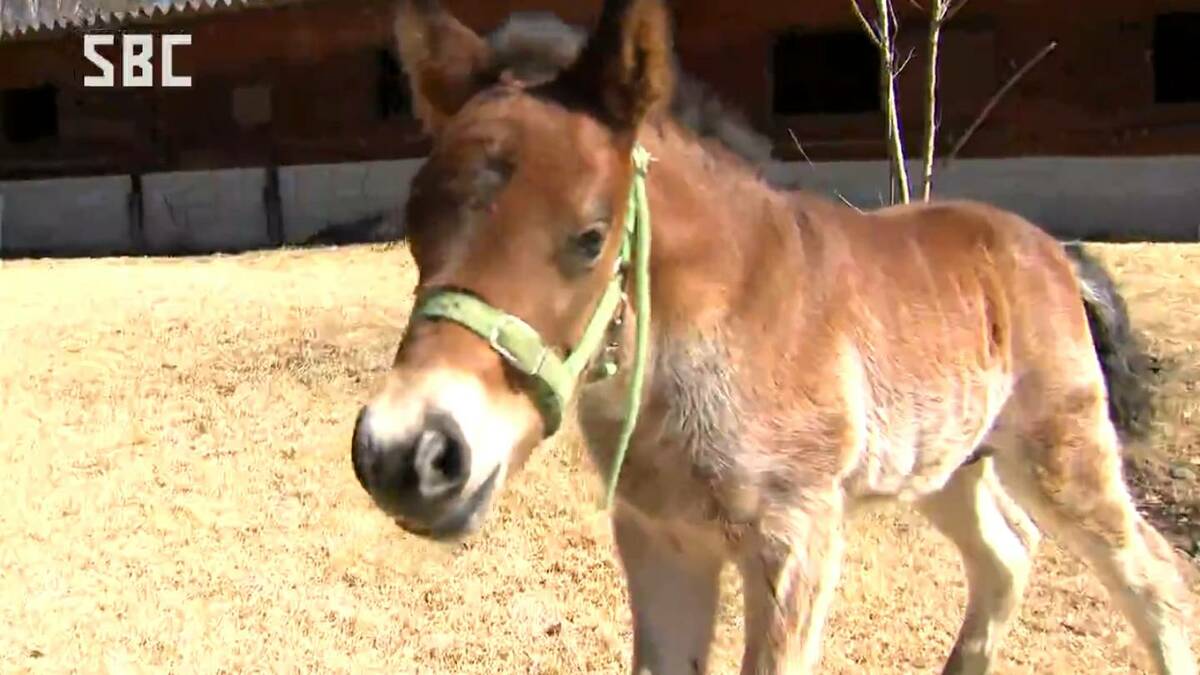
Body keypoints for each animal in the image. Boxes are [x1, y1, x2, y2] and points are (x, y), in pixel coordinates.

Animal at [348, 0, 1197, 672]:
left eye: (590, 237)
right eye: (414, 223)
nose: (406, 455)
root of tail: (1050, 249)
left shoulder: (795, 538)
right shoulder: (660, 540)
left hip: (1062, 453)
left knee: (1155, 577)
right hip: (948, 463)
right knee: (1008, 555)